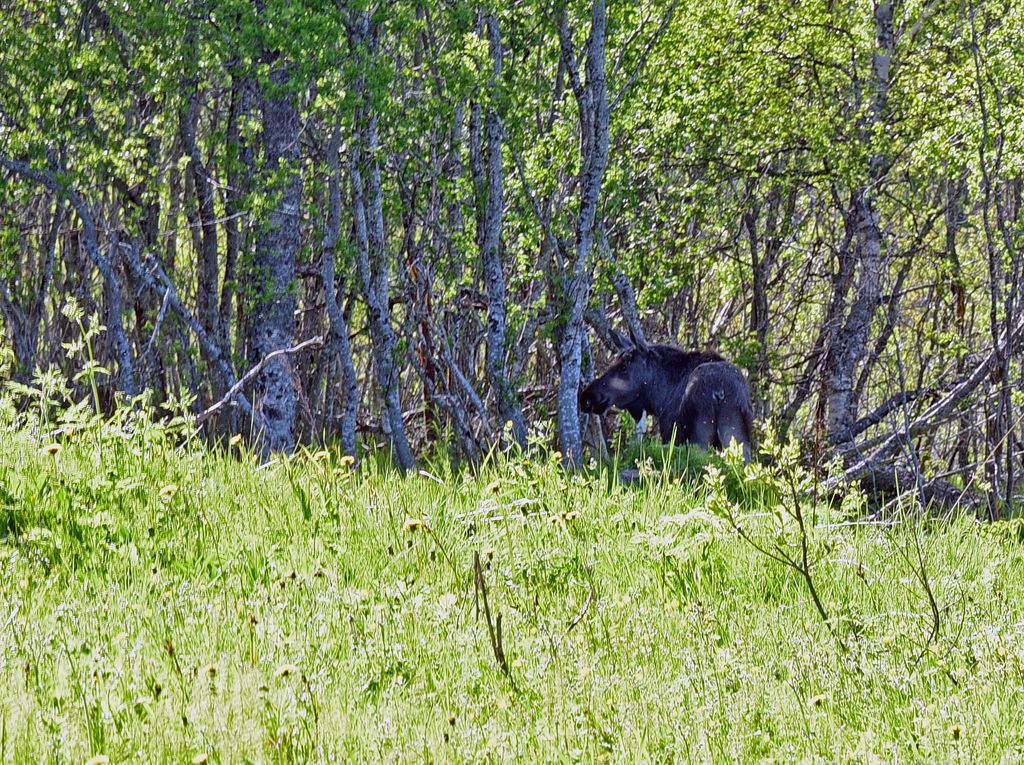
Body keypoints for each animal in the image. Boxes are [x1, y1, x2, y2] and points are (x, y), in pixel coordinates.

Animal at [581, 335, 757, 460]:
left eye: (623, 367)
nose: (587, 397)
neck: (659, 398)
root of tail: (719, 391)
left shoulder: (669, 430)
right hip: (737, 434)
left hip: (700, 436)